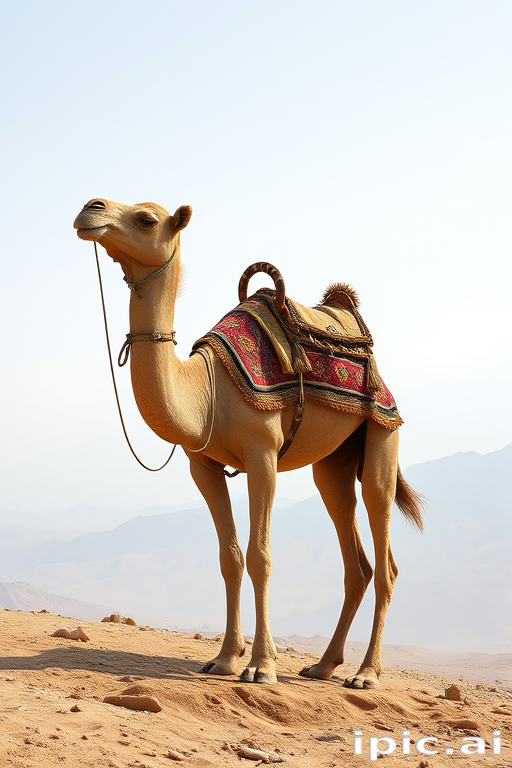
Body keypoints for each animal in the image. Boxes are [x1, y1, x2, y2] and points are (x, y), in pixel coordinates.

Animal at [73, 198, 423, 688]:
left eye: (145, 218)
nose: (90, 209)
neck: (207, 391)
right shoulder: (202, 465)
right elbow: (230, 558)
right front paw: (223, 659)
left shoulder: (263, 455)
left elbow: (260, 556)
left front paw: (261, 666)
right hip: (334, 463)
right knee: (355, 559)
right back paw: (323, 665)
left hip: (384, 432)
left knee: (384, 548)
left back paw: (366, 674)